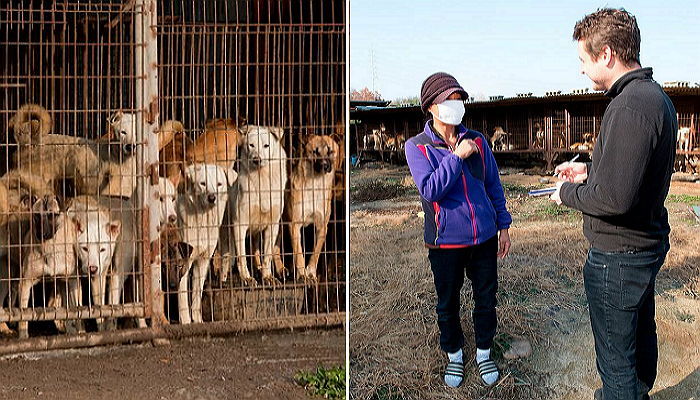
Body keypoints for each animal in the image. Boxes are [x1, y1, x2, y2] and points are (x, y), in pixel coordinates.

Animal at [175, 164, 235, 324]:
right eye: (203, 184)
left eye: (219, 184)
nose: (212, 198)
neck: (202, 220)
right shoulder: (183, 261)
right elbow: (182, 295)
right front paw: (185, 321)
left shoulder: (203, 260)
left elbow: (197, 294)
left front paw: (197, 320)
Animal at [217, 126, 286, 286]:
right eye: (251, 145)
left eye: (266, 146)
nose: (256, 160)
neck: (262, 178)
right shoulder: (239, 224)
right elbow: (242, 256)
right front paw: (246, 278)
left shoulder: (273, 225)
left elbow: (267, 255)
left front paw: (267, 277)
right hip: (223, 235)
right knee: (224, 260)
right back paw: (223, 282)